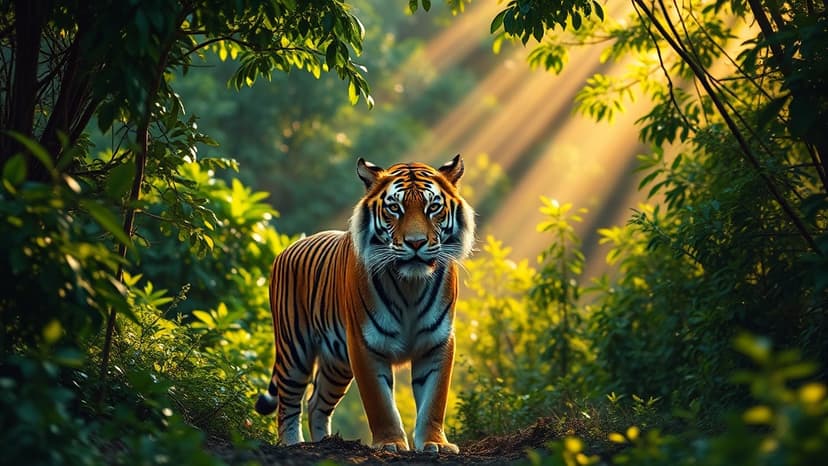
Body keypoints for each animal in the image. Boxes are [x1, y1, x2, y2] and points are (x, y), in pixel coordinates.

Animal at [255, 154, 475, 453]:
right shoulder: (364, 344)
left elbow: (434, 401)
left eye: (433, 208)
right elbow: (379, 403)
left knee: (316, 402)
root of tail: (288, 247)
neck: (411, 285)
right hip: (295, 349)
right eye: (394, 208)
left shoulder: (437, 343)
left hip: (336, 362)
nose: (416, 243)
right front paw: (390, 443)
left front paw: (435, 443)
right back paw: (292, 444)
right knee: (288, 402)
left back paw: (325, 442)